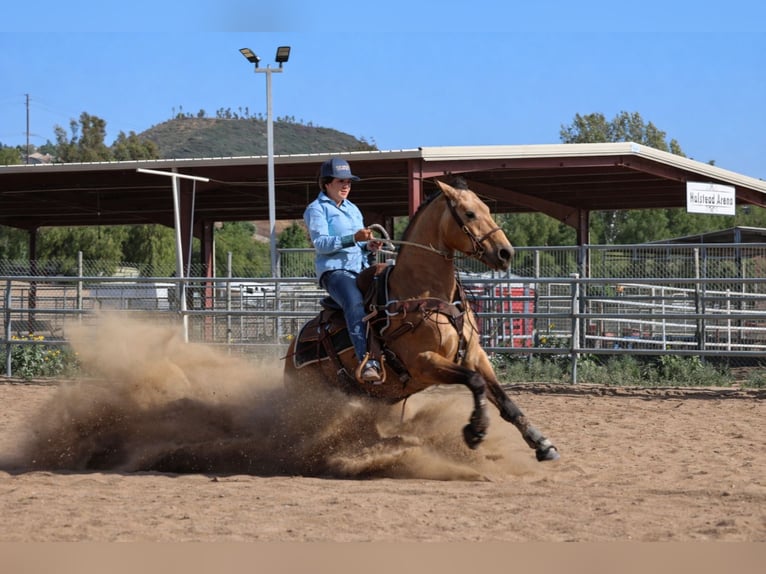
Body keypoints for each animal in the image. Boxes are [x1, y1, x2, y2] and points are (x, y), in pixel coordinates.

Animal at [284, 177, 559, 462]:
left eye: (486, 209)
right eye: (469, 213)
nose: (506, 253)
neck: (425, 294)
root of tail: (293, 350)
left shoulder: (475, 355)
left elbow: (503, 399)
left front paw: (541, 442)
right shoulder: (423, 362)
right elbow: (475, 381)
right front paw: (475, 431)